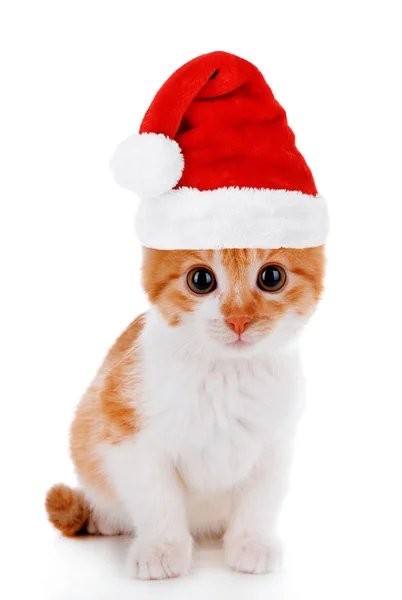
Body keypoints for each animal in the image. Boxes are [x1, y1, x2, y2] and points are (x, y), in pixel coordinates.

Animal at [45, 244, 326, 576]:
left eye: (272, 277)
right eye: (200, 280)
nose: (238, 320)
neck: (225, 373)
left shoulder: (277, 437)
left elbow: (261, 495)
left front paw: (251, 542)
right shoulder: (126, 427)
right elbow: (156, 495)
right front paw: (161, 548)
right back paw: (107, 518)